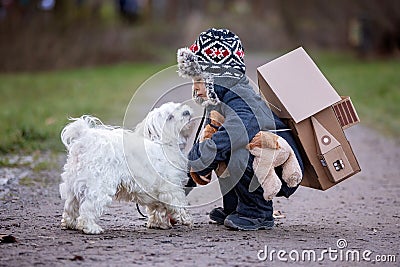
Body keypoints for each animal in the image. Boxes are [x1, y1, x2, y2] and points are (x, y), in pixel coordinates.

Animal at [59, 102, 195, 234]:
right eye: (170, 117)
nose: (186, 112)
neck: (163, 143)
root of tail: (85, 138)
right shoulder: (171, 188)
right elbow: (178, 204)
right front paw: (186, 219)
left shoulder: (157, 191)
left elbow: (157, 208)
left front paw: (159, 224)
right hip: (99, 185)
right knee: (88, 208)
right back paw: (91, 228)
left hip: (73, 184)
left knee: (71, 206)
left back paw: (70, 223)